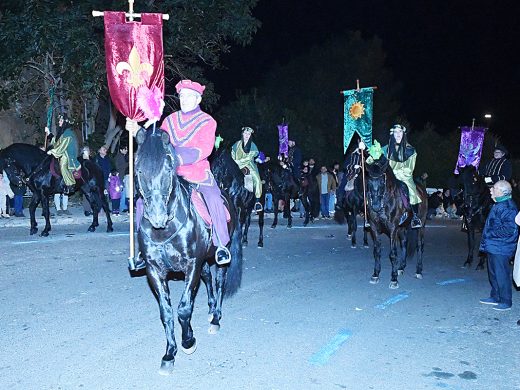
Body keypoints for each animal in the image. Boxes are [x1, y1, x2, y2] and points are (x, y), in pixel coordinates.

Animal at [133, 130, 241, 374]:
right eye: (139, 168)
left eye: (168, 167)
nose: (157, 217)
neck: (165, 231)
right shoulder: (155, 271)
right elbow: (166, 312)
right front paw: (169, 354)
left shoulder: (191, 265)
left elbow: (183, 308)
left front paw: (188, 341)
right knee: (208, 278)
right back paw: (211, 309)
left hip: (223, 251)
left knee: (219, 281)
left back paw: (216, 318)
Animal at [364, 156, 428, 290]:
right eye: (368, 182)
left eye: (382, 182)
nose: (375, 206)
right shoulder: (374, 227)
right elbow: (377, 251)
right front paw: (375, 274)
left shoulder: (392, 228)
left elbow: (393, 253)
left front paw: (393, 279)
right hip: (402, 228)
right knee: (404, 243)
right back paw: (401, 267)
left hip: (421, 225)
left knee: (420, 246)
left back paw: (418, 271)